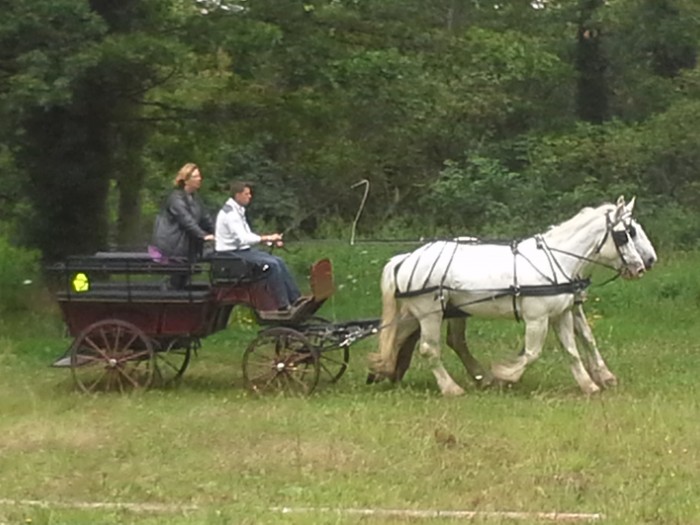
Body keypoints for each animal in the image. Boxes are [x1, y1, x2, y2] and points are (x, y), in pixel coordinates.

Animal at [370, 196, 660, 392]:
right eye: (626, 234)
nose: (643, 265)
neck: (558, 260)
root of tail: (405, 258)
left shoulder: (563, 313)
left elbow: (574, 348)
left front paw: (590, 384)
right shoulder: (537, 318)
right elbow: (532, 353)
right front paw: (504, 376)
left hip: (433, 311)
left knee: (414, 338)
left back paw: (384, 370)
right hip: (429, 313)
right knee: (429, 349)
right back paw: (451, 388)